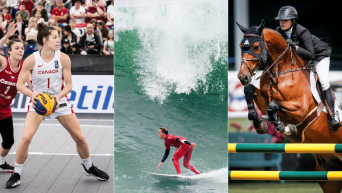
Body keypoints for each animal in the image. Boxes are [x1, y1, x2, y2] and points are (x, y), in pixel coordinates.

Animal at [235, 19, 342, 193]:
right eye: (240, 46)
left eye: (256, 47)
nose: (242, 77)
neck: (282, 70)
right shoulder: (264, 99)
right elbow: (249, 90)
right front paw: (260, 124)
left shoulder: (301, 109)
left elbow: (273, 106)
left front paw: (284, 127)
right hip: (329, 176)